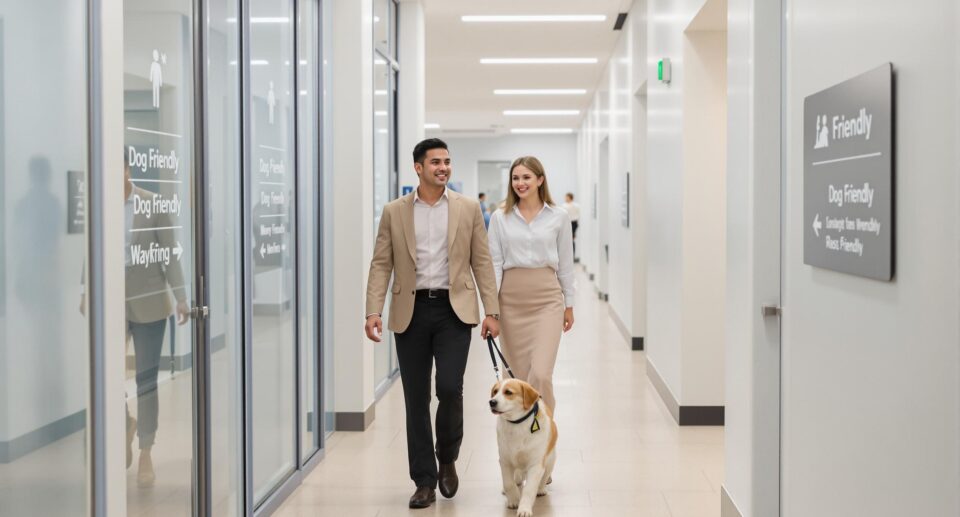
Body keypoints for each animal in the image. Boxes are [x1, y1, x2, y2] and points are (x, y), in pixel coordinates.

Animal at [492, 376, 560, 512]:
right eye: (495, 391)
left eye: (508, 392)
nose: (492, 402)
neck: (517, 424)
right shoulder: (505, 461)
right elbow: (508, 483)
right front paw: (513, 500)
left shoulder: (536, 465)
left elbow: (529, 489)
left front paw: (524, 509)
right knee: (516, 476)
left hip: (550, 461)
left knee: (544, 477)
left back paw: (541, 489)